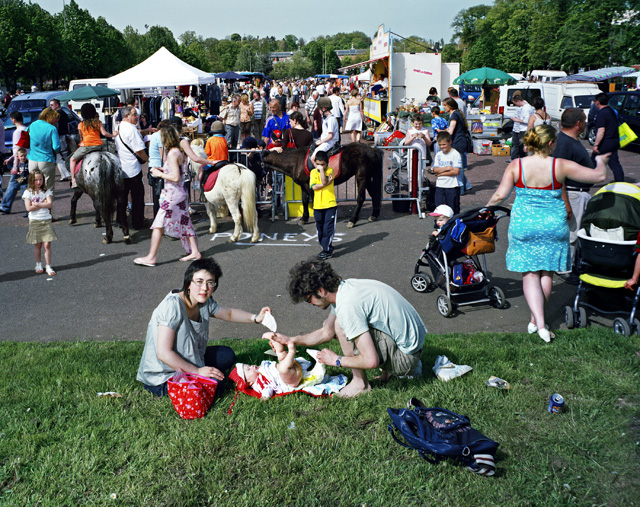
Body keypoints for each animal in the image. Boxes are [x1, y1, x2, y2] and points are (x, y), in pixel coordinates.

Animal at [248, 145, 382, 228]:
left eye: (252, 163)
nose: (251, 180)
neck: (295, 160)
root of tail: (373, 150)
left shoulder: (310, 186)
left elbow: (313, 201)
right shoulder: (303, 185)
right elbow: (304, 200)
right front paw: (304, 218)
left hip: (361, 177)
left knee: (361, 198)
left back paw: (352, 220)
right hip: (367, 177)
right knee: (374, 194)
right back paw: (374, 215)